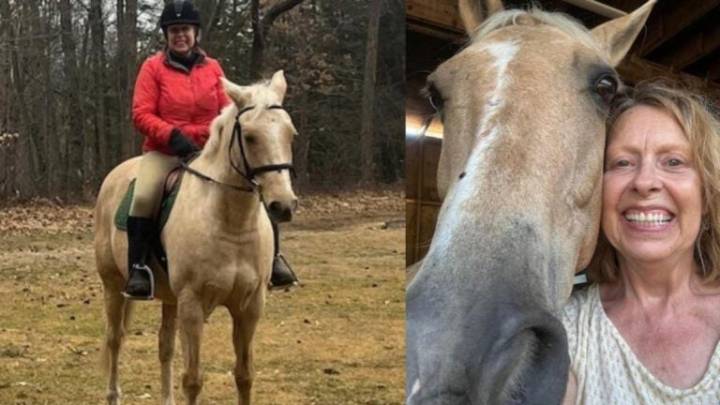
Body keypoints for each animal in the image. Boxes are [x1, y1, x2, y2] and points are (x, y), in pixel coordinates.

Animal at [94, 70, 297, 405]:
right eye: (250, 137)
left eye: (290, 134)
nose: (283, 205)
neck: (232, 225)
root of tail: (115, 175)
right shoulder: (193, 303)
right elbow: (193, 380)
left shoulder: (250, 306)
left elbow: (244, 375)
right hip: (113, 285)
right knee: (114, 339)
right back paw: (113, 395)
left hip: (169, 297)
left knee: (164, 347)